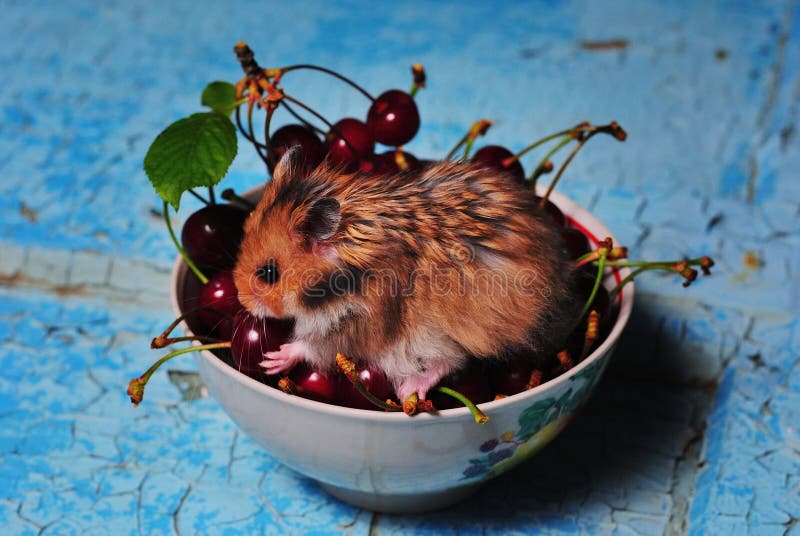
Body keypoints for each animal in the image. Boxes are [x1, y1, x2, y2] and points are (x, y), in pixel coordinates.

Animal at [234, 147, 578, 403]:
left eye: (268, 273)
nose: (240, 300)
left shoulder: (356, 322)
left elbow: (313, 346)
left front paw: (273, 359)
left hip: (429, 333)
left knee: (451, 361)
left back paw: (409, 390)